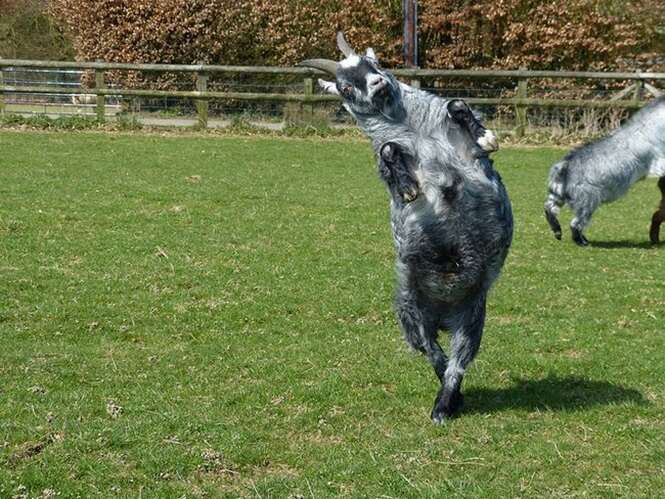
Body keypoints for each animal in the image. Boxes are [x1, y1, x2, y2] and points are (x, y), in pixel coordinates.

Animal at [300, 33, 512, 424]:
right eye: (345, 86)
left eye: (374, 64)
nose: (378, 84)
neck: (416, 130)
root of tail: (444, 315)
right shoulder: (389, 149)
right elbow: (387, 150)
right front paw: (408, 187)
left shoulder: (470, 156)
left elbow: (457, 105)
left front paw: (486, 135)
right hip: (410, 314)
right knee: (435, 356)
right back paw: (445, 405)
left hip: (473, 317)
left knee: (457, 363)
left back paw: (445, 404)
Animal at [544, 96, 664, 246]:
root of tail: (564, 166)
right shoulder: (658, 160)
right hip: (588, 201)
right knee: (575, 224)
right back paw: (581, 241)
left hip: (557, 195)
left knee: (549, 208)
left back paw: (558, 231)